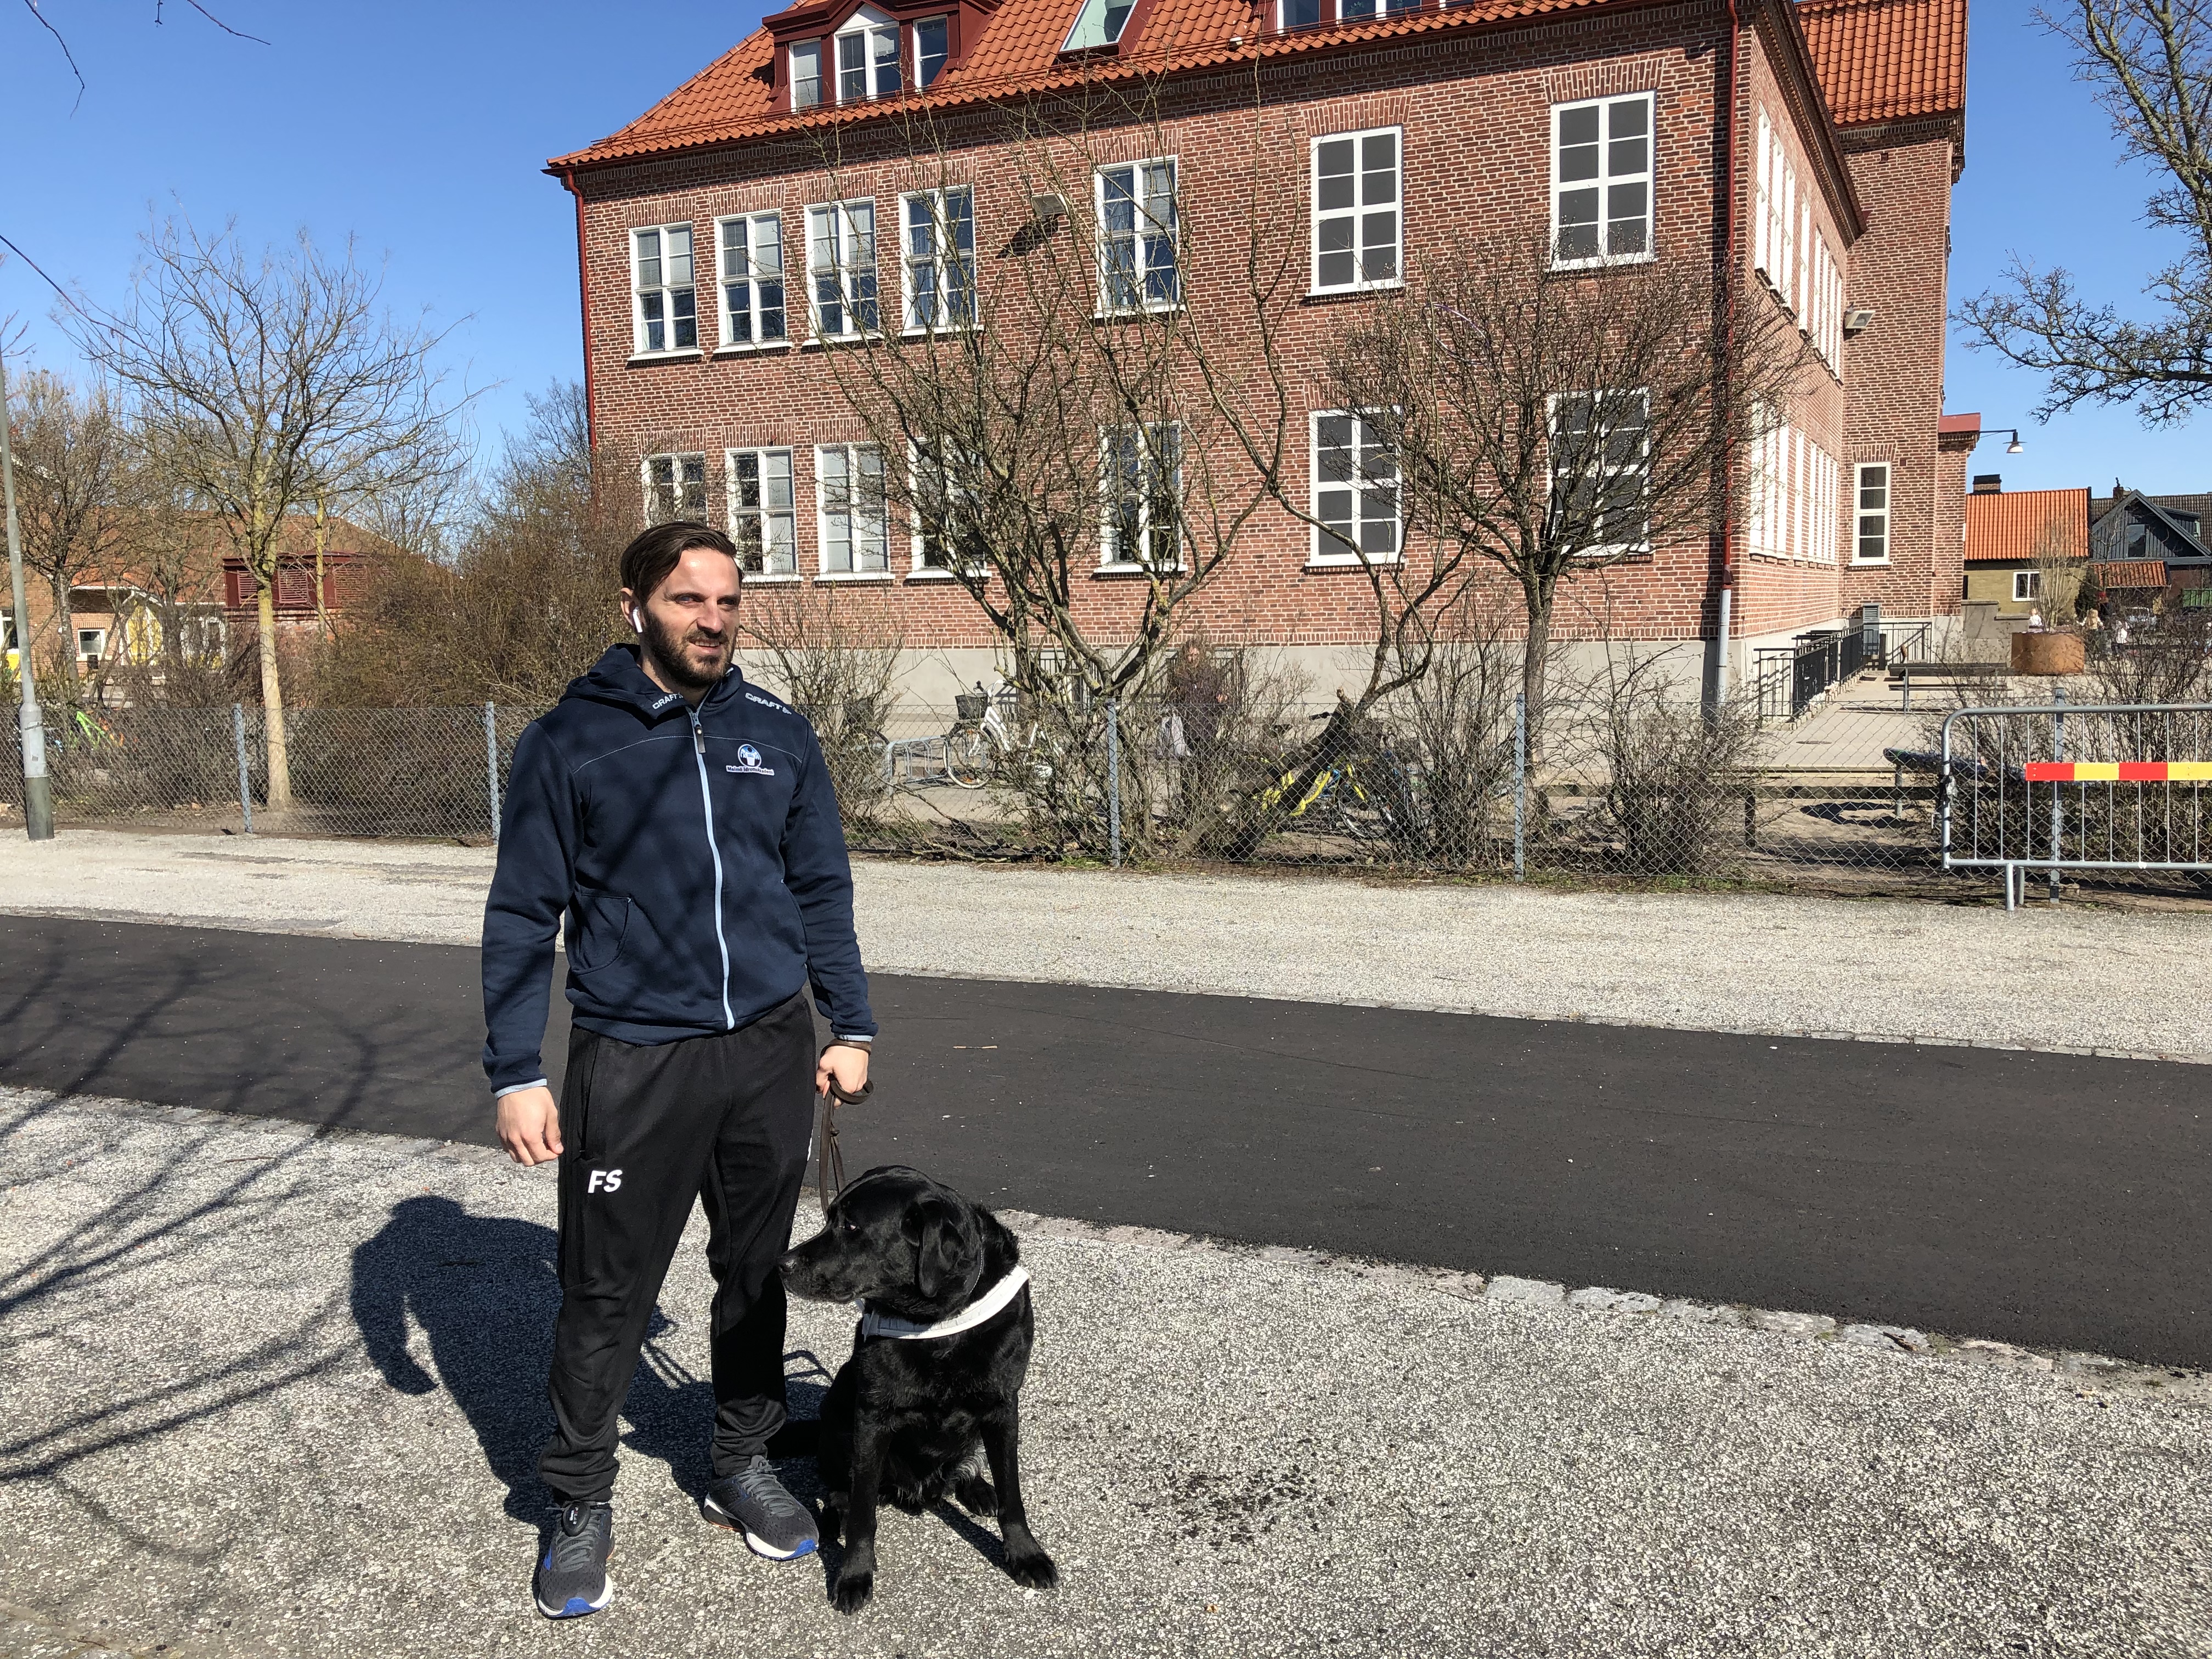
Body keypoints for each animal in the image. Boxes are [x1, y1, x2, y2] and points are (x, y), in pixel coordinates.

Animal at [778, 1167, 1053, 1610]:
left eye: (850, 1226)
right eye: (830, 1218)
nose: (780, 1264)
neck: (939, 1322)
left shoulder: (1002, 1406)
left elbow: (1012, 1494)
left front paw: (1026, 1554)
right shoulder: (871, 1417)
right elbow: (863, 1512)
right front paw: (854, 1574)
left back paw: (978, 1488)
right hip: (838, 1410)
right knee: (840, 1488)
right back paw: (838, 1514)